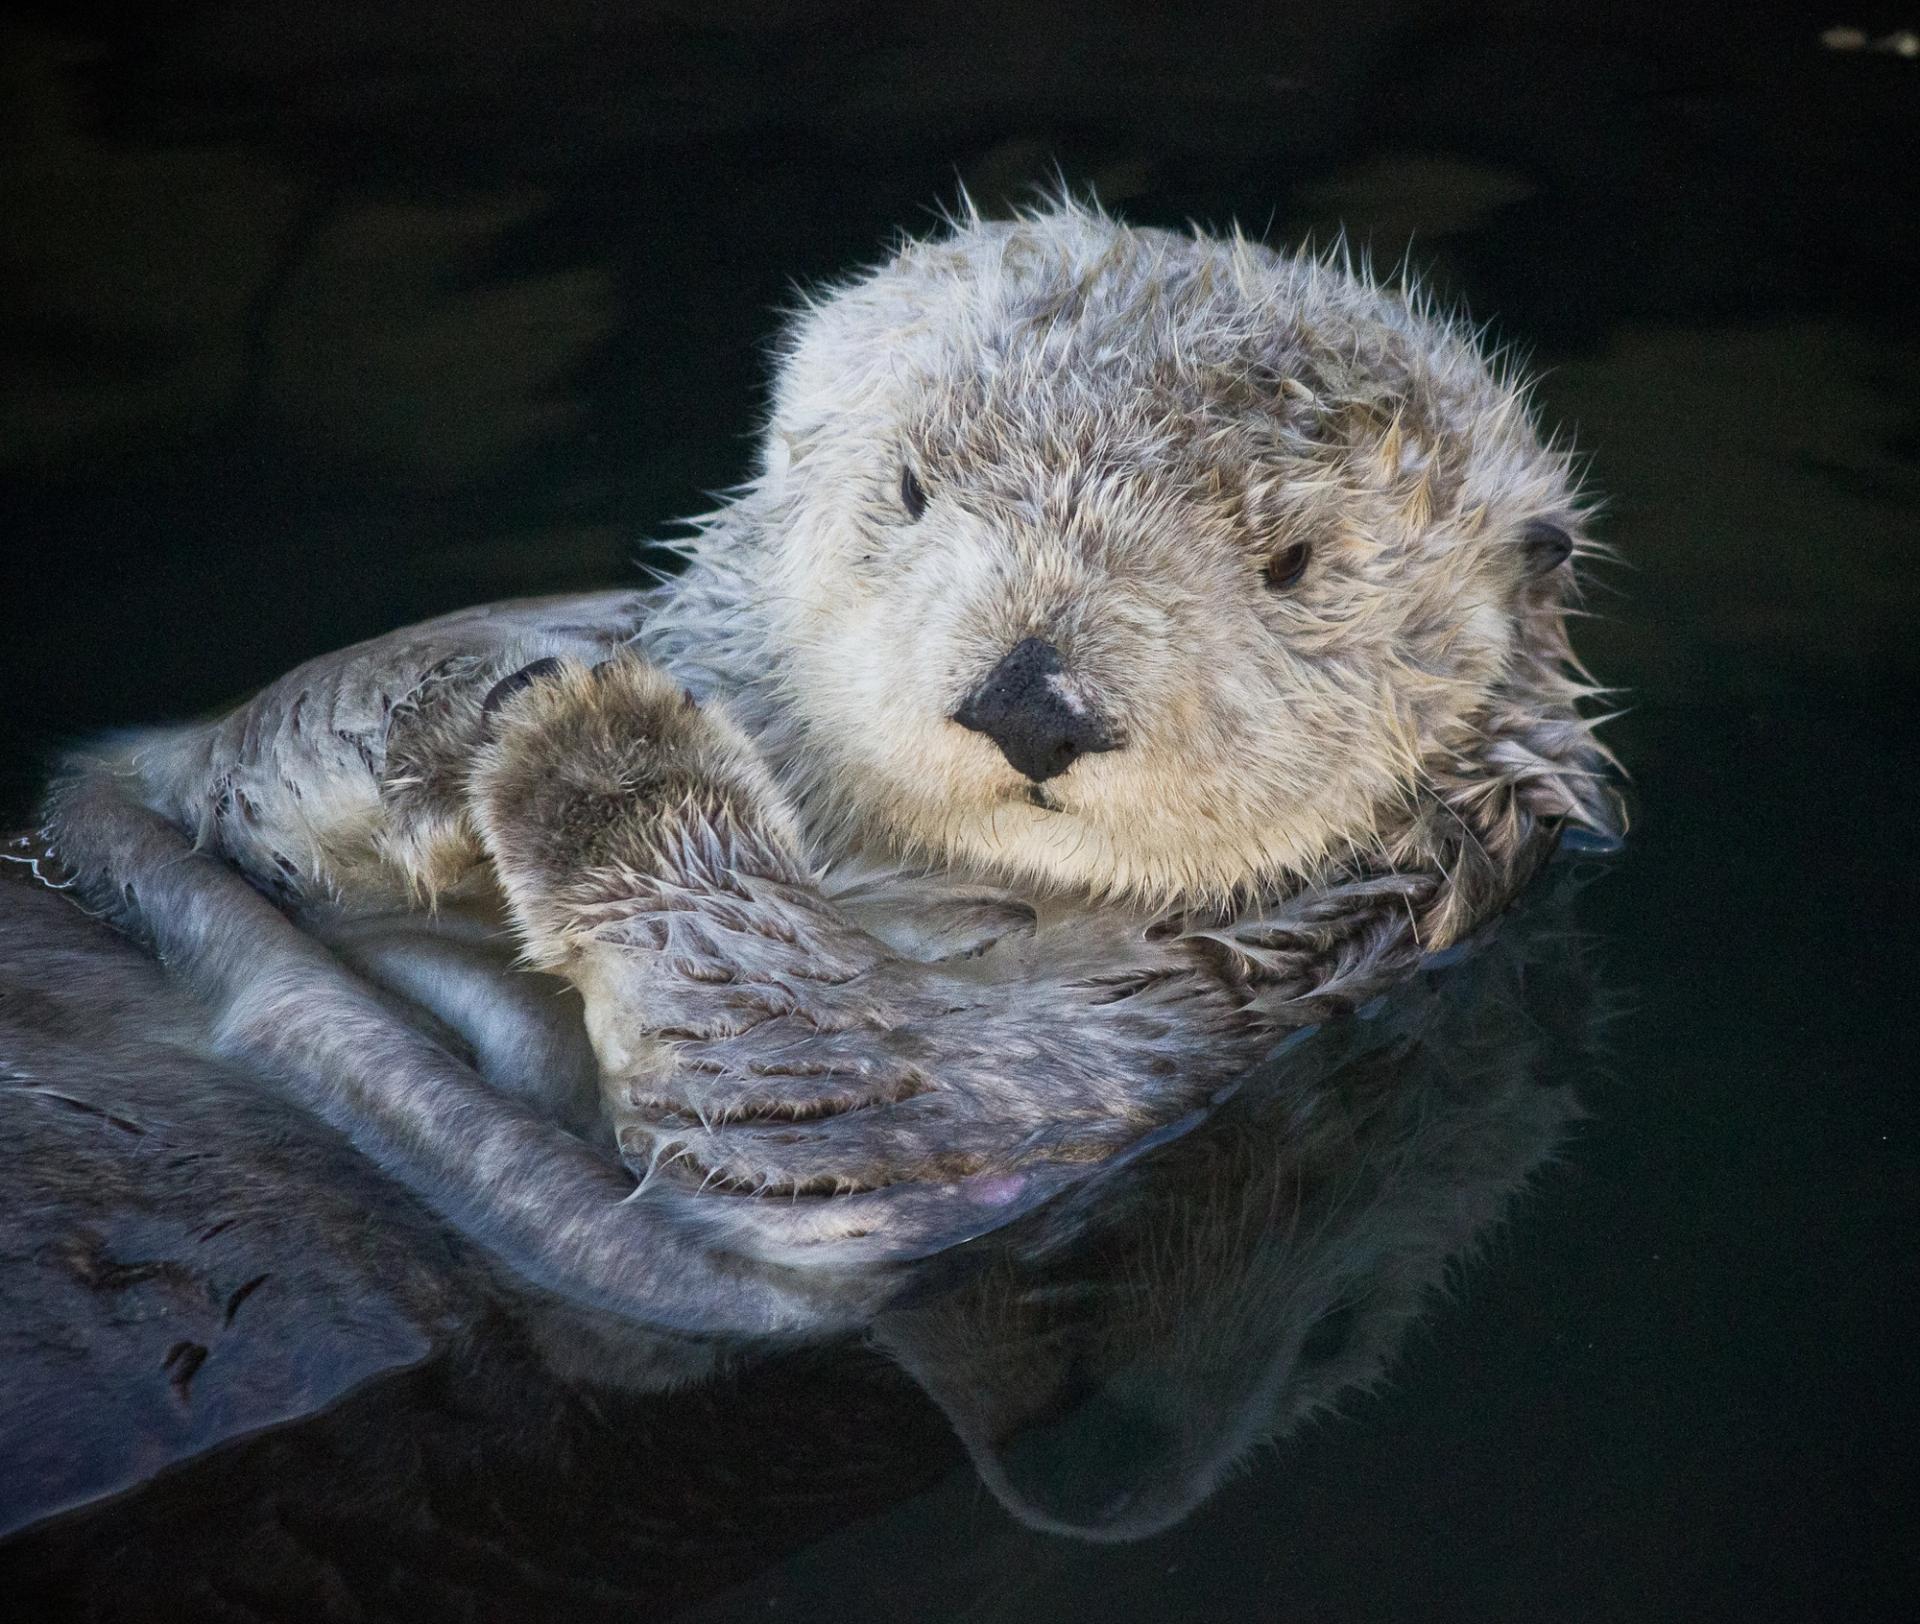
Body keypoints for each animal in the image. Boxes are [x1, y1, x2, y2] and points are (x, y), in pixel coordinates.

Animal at [29, 198, 1620, 1310]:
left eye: (1294, 564)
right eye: (910, 489)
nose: (1034, 700)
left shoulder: (1125, 1057)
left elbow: (824, 1087)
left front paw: (604, 755)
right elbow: (234, 769)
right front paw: (469, 707)